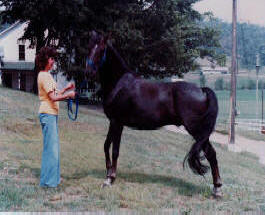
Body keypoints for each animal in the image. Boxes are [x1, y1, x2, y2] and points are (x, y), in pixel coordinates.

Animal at [86, 31, 221, 197]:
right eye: (89, 47)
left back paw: (217, 189)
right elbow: (106, 145)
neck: (119, 84)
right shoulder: (112, 121)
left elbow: (115, 150)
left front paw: (110, 179)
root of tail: (201, 90)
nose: (88, 72)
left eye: (101, 50)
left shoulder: (118, 122)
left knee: (211, 154)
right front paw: (107, 174)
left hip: (197, 130)